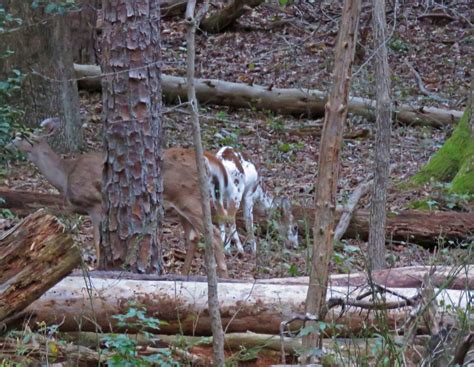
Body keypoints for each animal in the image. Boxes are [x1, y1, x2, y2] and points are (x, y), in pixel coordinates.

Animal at [12, 119, 230, 278]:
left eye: (24, 136)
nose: (8, 142)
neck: (65, 176)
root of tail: (208, 162)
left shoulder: (95, 204)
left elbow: (97, 239)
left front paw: (97, 268)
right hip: (182, 207)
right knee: (194, 237)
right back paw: (184, 275)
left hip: (190, 199)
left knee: (213, 233)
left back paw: (223, 275)